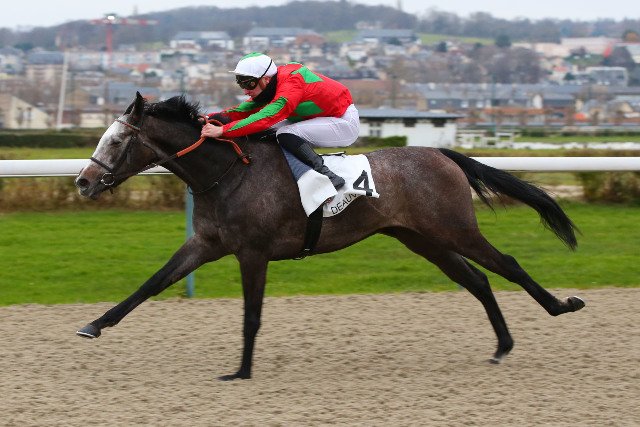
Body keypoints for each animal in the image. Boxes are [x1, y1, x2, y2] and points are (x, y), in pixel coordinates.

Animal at [74, 92, 585, 380]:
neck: (226, 174)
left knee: (507, 265)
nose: (82, 182)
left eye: (117, 141)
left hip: (454, 228)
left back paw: (561, 306)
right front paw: (94, 324)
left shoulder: (253, 252)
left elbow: (251, 315)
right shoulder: (205, 245)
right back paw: (502, 346)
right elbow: (152, 283)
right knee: (478, 281)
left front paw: (241, 370)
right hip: (423, 239)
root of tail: (442, 154)